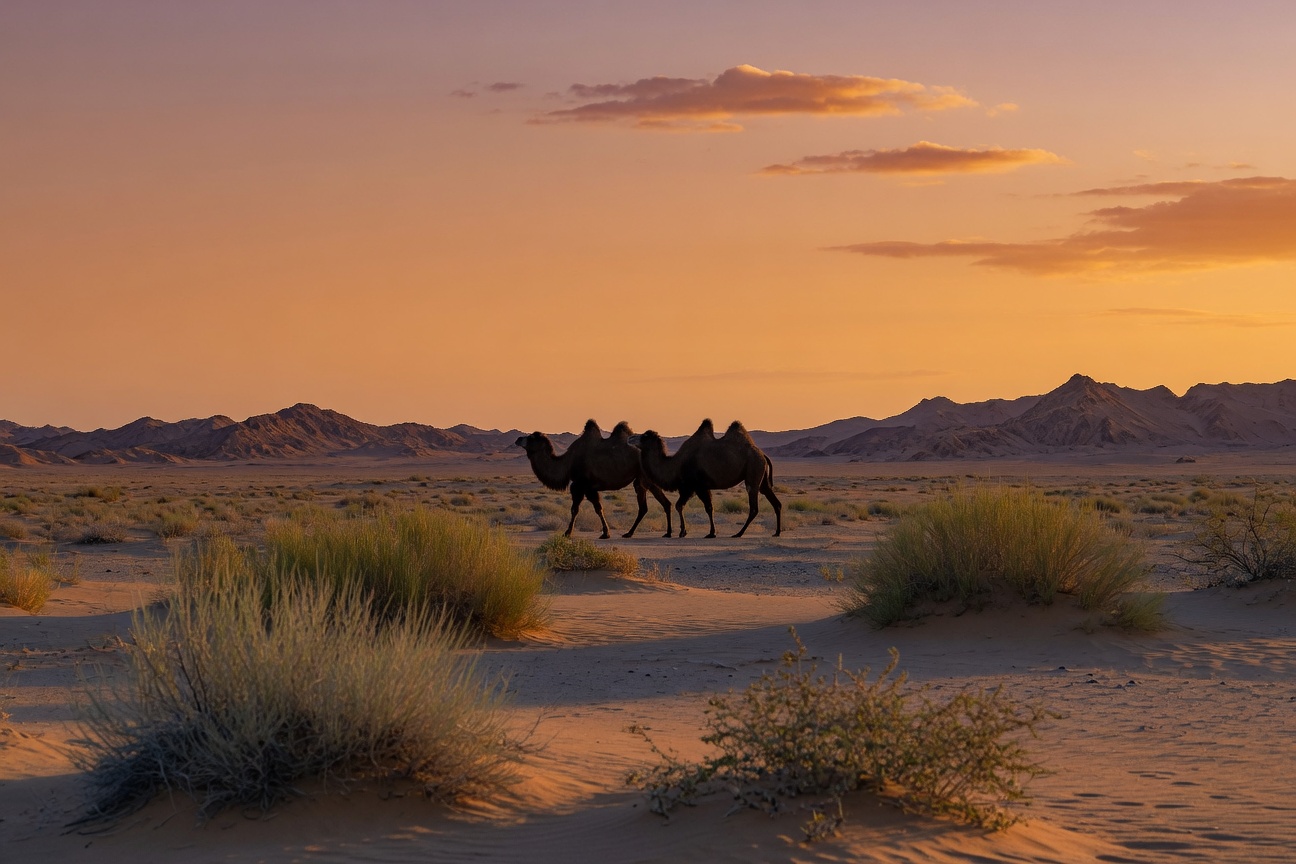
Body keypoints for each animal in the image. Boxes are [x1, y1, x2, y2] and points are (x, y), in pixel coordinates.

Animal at [515, 419, 673, 539]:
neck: (567, 462)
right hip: (642, 479)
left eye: (532, 437)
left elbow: (575, 509)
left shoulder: (579, 485)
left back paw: (662, 533)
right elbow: (598, 508)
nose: (518, 439)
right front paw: (605, 533)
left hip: (645, 477)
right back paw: (637, 533)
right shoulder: (589, 488)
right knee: (652, 505)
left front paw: (567, 533)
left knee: (657, 504)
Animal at [631, 419, 782, 538]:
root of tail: (762, 454)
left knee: (754, 507)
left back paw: (739, 533)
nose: (630, 438)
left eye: (644, 436)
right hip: (761, 477)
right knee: (774, 501)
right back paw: (777, 532)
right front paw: (685, 532)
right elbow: (686, 506)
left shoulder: (695, 486)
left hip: (753, 471)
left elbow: (701, 507)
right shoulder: (692, 487)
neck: (676, 464)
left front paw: (707, 533)